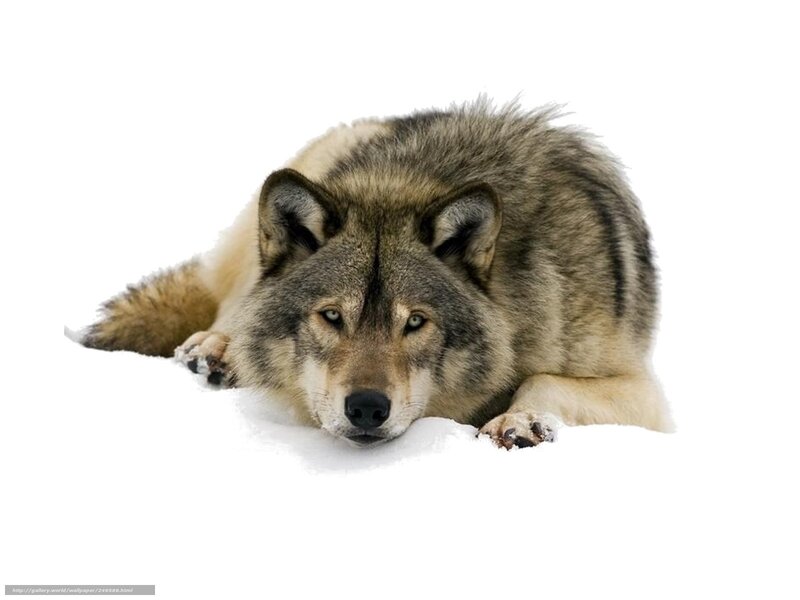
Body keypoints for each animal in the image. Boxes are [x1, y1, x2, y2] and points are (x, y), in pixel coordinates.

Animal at [83, 100, 672, 448]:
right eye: (330, 316)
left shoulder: (645, 395)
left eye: (414, 323)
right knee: (233, 302)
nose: (366, 407)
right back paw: (215, 350)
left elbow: (541, 378)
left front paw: (518, 420)